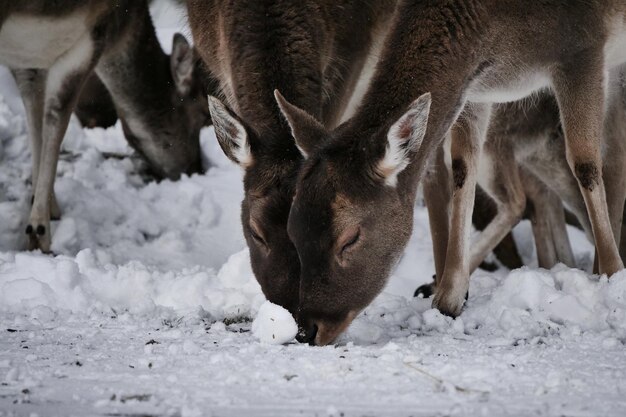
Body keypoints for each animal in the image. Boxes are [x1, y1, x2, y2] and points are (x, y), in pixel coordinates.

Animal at [0, 0, 210, 252]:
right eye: (203, 116)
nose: (198, 168)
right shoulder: (93, 36)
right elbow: (56, 116)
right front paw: (38, 232)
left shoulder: (24, 61)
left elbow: (34, 114)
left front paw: (48, 203)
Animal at [276, 0, 624, 344]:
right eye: (292, 230)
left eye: (350, 238)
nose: (307, 330)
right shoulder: (477, 91)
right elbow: (461, 170)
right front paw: (448, 299)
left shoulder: (583, 47)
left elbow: (585, 163)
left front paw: (611, 276)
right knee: (614, 160)